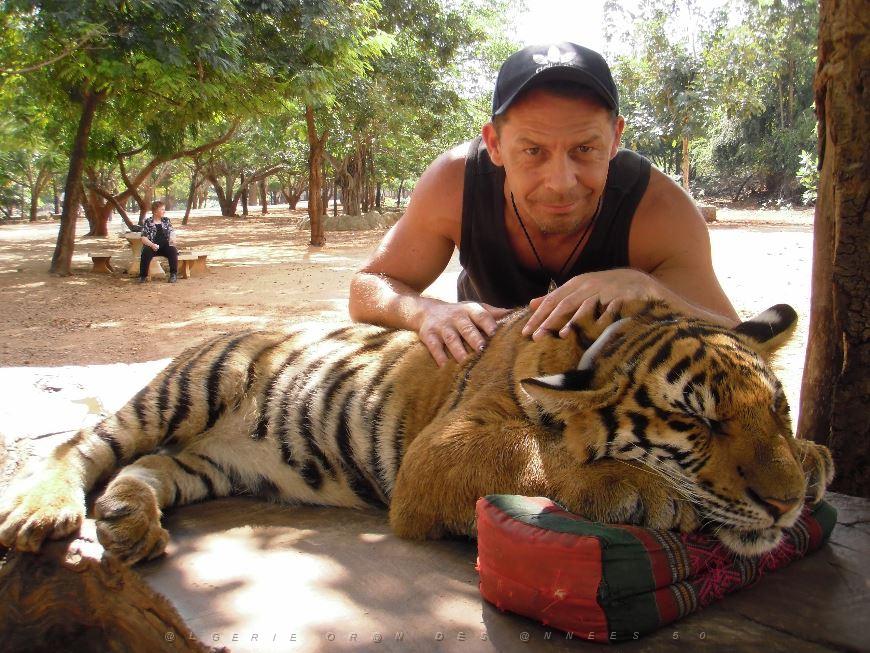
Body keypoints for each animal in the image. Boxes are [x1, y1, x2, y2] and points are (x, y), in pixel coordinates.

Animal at [0, 300, 833, 564]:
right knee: (84, 443)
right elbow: (534, 449)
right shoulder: (440, 452)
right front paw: (633, 487)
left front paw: (817, 457)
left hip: (208, 462)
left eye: (780, 410)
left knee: (150, 468)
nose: (788, 505)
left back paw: (129, 521)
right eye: (695, 420)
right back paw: (41, 513)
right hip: (189, 389)